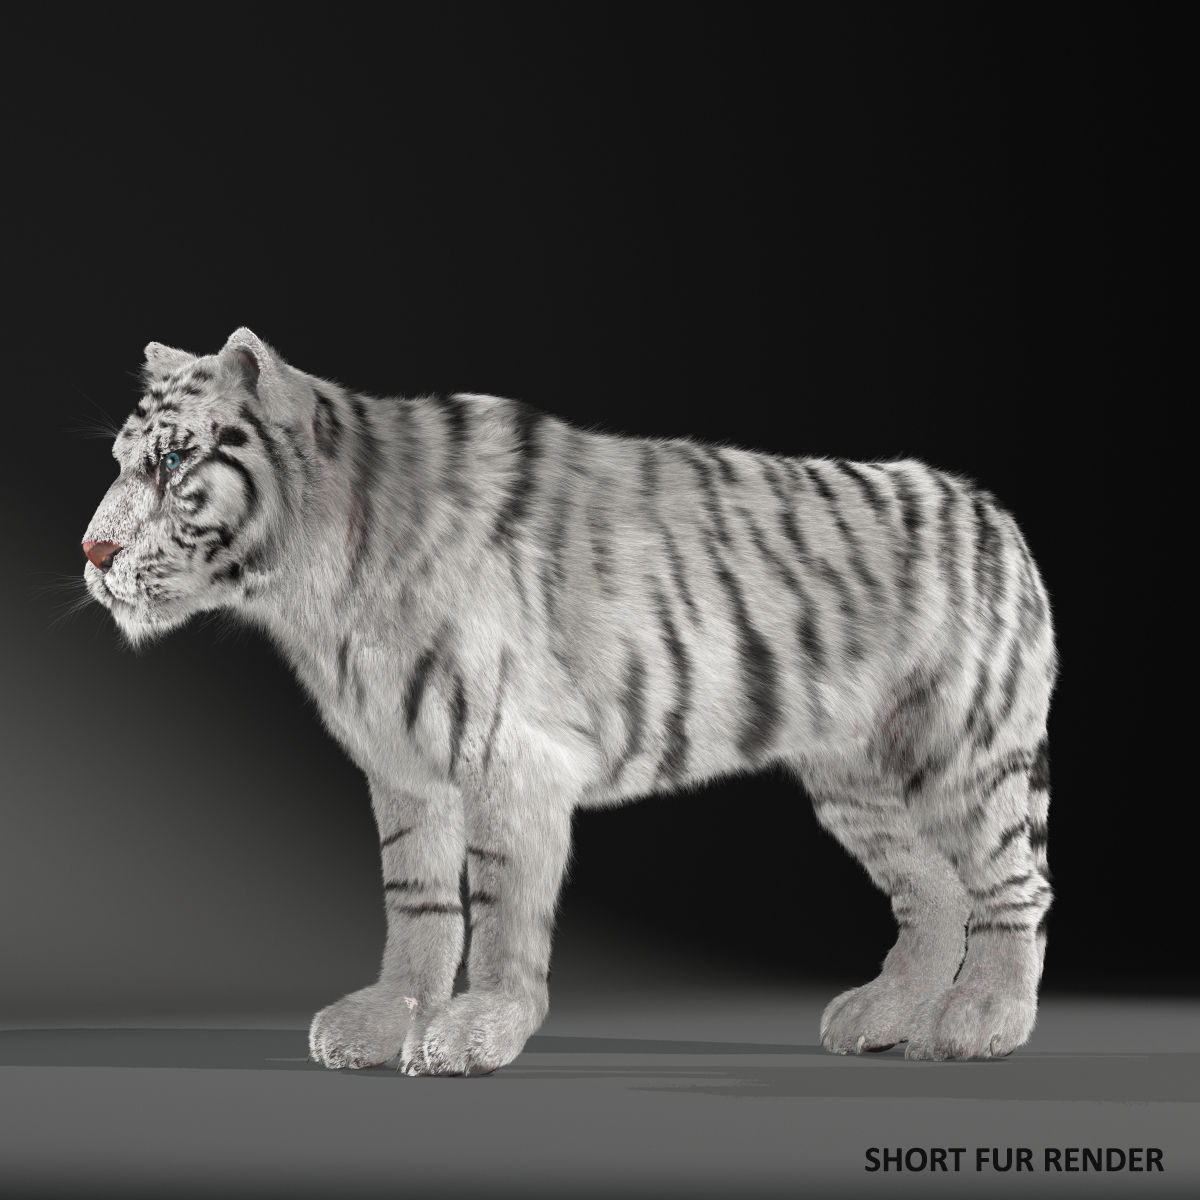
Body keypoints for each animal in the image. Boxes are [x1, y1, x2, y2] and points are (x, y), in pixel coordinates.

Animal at [80, 327, 1056, 1073]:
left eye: (174, 461)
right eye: (124, 463)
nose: (92, 552)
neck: (305, 583)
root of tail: (992, 512)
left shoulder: (508, 755)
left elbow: (500, 906)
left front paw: (478, 1029)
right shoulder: (404, 767)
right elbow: (418, 903)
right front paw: (388, 1017)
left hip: (964, 752)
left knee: (1014, 884)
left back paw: (983, 1020)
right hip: (858, 778)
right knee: (933, 888)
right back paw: (886, 1013)